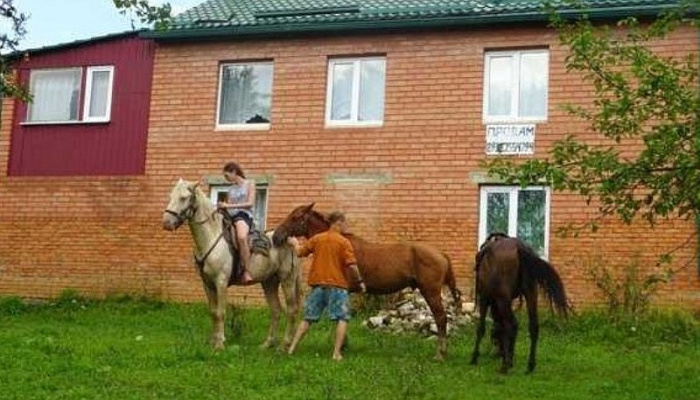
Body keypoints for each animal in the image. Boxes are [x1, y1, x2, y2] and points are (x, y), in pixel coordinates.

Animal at [163, 178, 302, 350]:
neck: (211, 237)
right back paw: (267, 344)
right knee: (276, 310)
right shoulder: (207, 284)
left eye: (183, 198)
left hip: (287, 279)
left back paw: (284, 345)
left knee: (292, 310)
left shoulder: (221, 281)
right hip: (269, 282)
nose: (166, 222)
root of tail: (291, 241)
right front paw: (214, 341)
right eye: (171, 196)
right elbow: (213, 312)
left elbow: (220, 312)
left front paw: (219, 344)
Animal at [270, 203, 462, 360]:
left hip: (431, 291)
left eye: (295, 217)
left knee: (441, 319)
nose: (276, 236)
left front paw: (341, 347)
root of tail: (441, 254)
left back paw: (440, 354)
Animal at [470, 233, 568, 374]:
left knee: (511, 324)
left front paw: (474, 358)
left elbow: (481, 328)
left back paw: (504, 367)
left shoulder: (485, 298)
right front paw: (510, 358)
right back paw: (530, 365)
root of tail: (519, 248)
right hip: (530, 293)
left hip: (503, 299)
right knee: (533, 326)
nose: (497, 353)